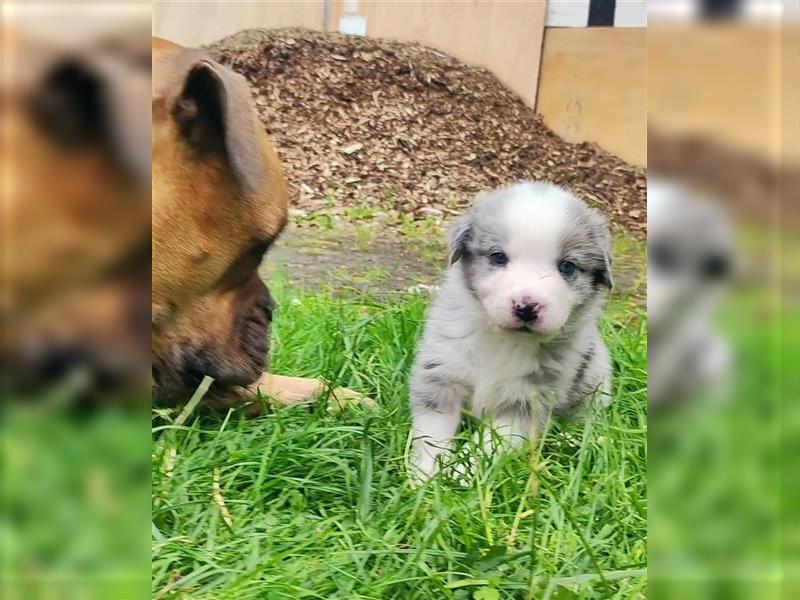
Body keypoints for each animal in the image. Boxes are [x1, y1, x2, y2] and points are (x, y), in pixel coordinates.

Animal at [410, 180, 616, 480]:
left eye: (567, 266)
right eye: (498, 257)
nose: (526, 307)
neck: (503, 342)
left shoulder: (528, 401)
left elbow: (489, 442)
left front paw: (463, 473)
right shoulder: (442, 375)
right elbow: (431, 433)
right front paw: (425, 475)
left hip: (595, 381)